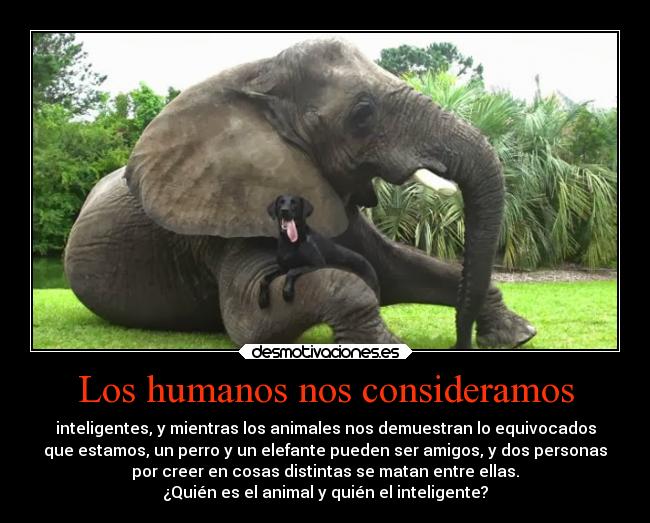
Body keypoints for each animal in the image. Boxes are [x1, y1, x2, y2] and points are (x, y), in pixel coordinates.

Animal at [64, 38, 537, 349]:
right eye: (362, 114)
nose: (462, 343)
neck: (260, 74)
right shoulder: (223, 217)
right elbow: (250, 320)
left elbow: (398, 267)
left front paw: (517, 337)